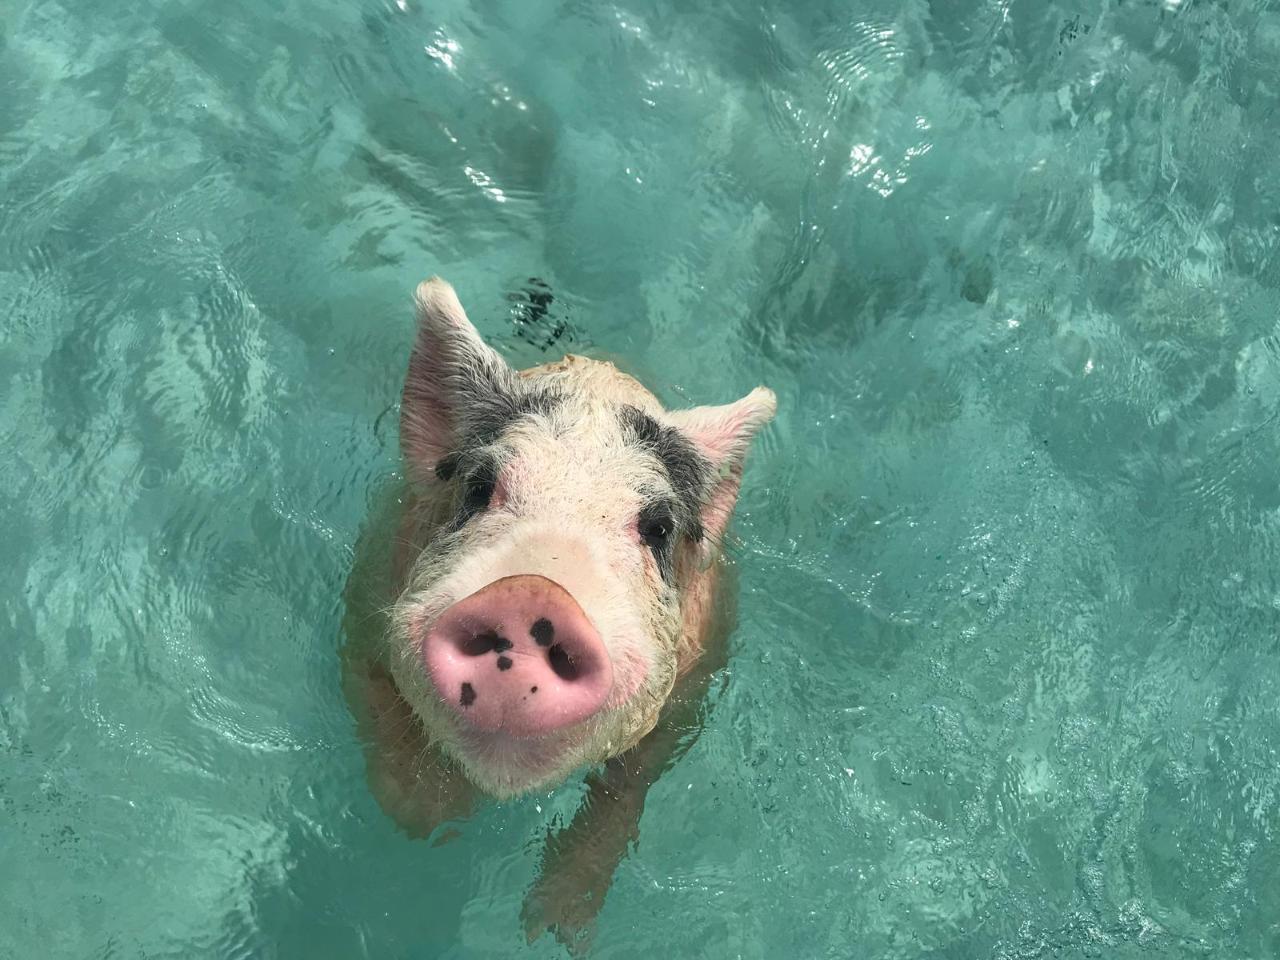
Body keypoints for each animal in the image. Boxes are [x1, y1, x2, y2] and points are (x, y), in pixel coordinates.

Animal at [342, 277, 775, 948]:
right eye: (479, 487)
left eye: (656, 528)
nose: (532, 593)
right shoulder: (363, 604)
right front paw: (429, 821)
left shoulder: (694, 686)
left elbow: (627, 786)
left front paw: (552, 931)